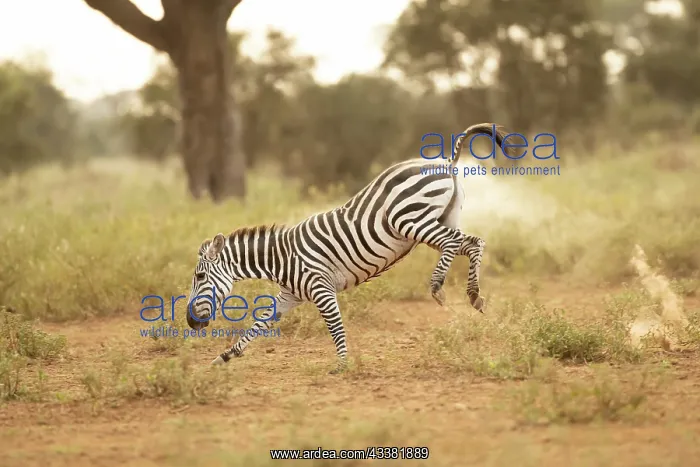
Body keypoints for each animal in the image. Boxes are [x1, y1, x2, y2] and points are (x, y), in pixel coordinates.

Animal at [186, 122, 510, 374]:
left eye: (200, 277)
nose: (191, 322)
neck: (282, 258)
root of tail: (447, 162)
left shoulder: (321, 288)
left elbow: (335, 326)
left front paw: (341, 364)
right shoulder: (290, 295)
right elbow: (259, 323)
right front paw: (225, 356)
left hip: (409, 219)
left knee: (453, 243)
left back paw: (438, 285)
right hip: (441, 217)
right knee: (473, 243)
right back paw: (474, 295)